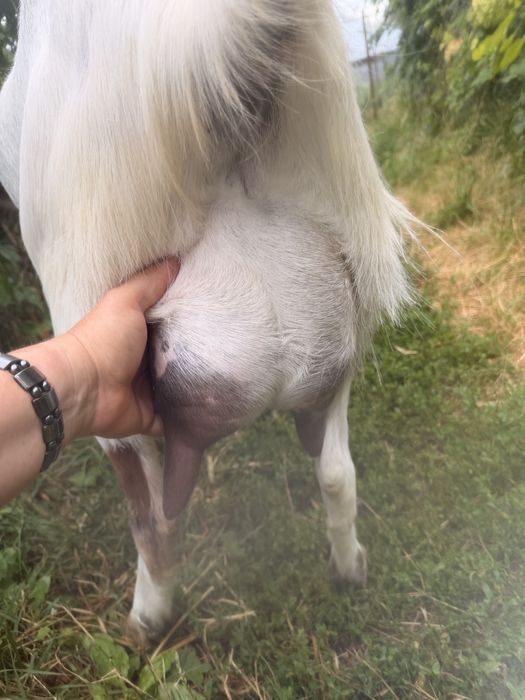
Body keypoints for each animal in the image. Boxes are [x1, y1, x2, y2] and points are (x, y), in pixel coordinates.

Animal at [0, 0, 415, 647]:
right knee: (335, 470)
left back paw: (145, 622)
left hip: (85, 294)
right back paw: (349, 568)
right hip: (334, 337)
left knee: (155, 522)